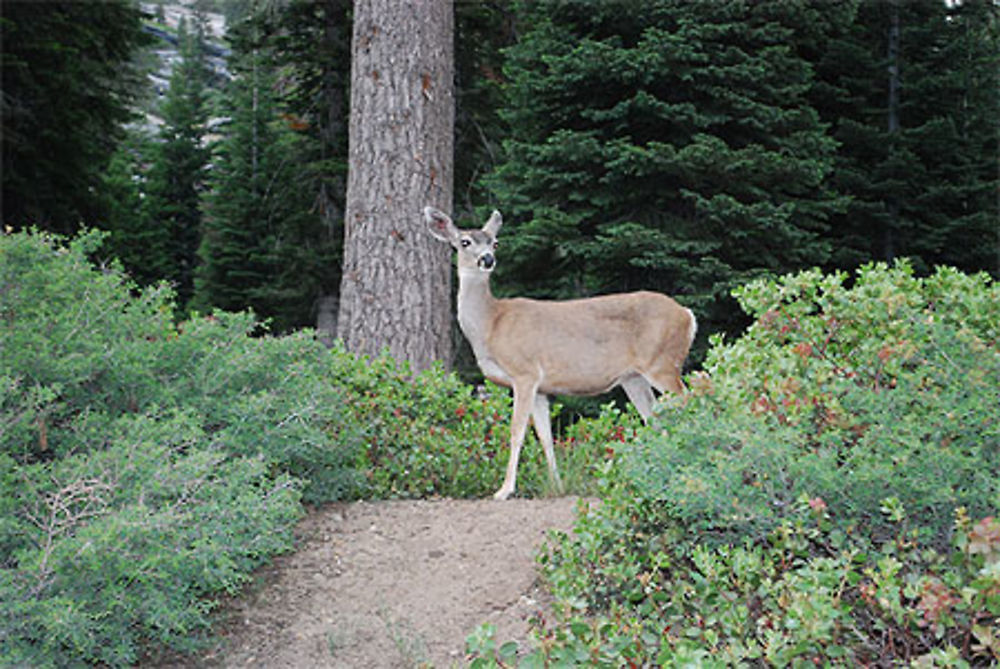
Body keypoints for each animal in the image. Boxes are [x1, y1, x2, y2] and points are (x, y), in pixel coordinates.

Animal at [426, 206, 700, 498]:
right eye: (464, 242)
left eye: (495, 243)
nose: (487, 259)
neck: (491, 324)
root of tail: (687, 315)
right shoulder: (540, 387)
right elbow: (545, 437)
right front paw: (556, 485)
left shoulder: (525, 372)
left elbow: (516, 431)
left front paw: (504, 490)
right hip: (634, 378)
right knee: (655, 420)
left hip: (663, 363)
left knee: (692, 401)